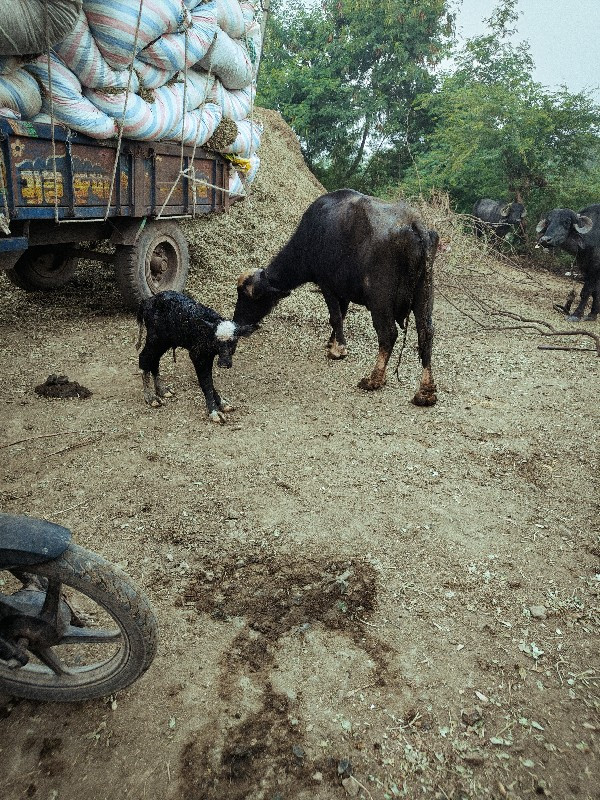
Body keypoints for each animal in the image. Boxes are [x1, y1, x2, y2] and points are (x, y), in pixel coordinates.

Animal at [137, 290, 253, 424]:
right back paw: (150, 397)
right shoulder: (197, 355)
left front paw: (222, 404)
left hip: (164, 341)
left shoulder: (208, 356)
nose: (224, 364)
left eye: (234, 342)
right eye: (217, 341)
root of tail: (147, 301)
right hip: (155, 338)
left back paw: (162, 390)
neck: (207, 333)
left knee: (154, 360)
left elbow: (209, 381)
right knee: (144, 358)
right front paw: (214, 412)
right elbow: (206, 382)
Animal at [234, 188, 440, 406]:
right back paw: (425, 392)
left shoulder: (327, 286)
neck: (312, 236)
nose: (237, 322)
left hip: (380, 300)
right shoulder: (343, 292)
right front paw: (332, 342)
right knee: (426, 333)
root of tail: (414, 224)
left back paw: (374, 379)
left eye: (247, 297)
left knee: (388, 334)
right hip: (424, 295)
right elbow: (341, 315)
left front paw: (338, 350)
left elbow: (334, 317)